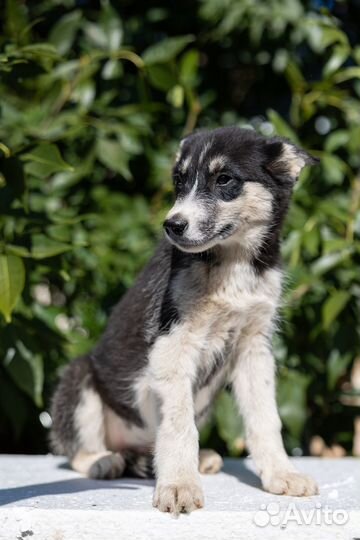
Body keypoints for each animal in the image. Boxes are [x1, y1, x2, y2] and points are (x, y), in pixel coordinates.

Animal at [50, 126, 318, 516]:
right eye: (179, 181)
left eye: (224, 180)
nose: (172, 225)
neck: (231, 263)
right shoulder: (173, 343)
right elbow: (178, 425)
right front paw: (178, 485)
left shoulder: (254, 346)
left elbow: (265, 419)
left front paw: (282, 473)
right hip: (79, 379)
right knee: (75, 451)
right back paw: (103, 461)